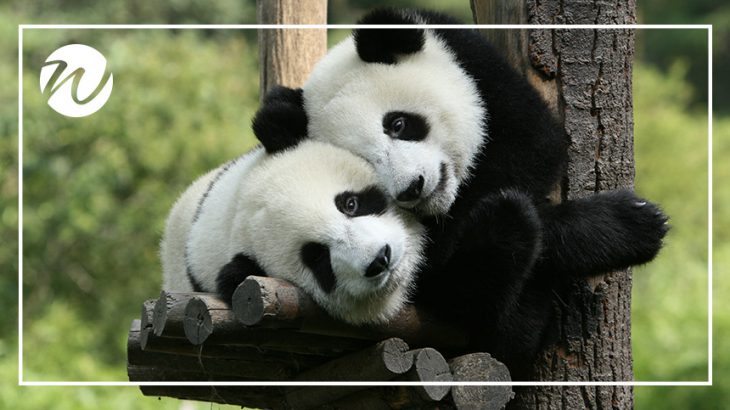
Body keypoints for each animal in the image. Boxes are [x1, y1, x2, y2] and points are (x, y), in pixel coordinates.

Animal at [253, 7, 668, 378]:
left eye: (398, 124)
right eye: (365, 162)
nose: (412, 188)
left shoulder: (478, 69)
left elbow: (535, 147)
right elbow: (444, 270)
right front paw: (630, 224)